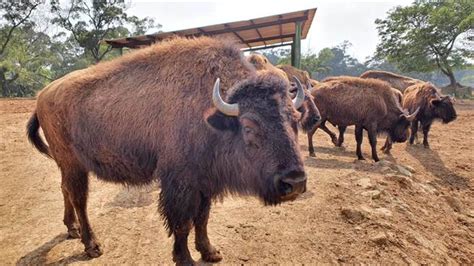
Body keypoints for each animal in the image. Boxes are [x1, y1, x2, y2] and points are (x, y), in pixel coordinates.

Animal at [26, 37, 308, 264]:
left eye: (295, 119)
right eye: (249, 126)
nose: (294, 183)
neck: (210, 112)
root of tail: (43, 94)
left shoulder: (204, 181)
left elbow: (202, 218)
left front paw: (211, 252)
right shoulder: (180, 182)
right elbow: (182, 223)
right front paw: (185, 259)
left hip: (66, 164)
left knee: (65, 190)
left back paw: (71, 229)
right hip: (72, 163)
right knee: (79, 199)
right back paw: (92, 245)